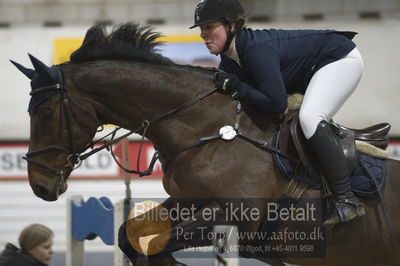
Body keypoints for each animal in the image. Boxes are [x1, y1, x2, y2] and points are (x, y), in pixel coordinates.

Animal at [11, 23, 400, 266]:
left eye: (46, 113)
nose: (40, 185)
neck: (204, 128)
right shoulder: (186, 201)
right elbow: (129, 233)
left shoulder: (236, 214)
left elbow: (156, 238)